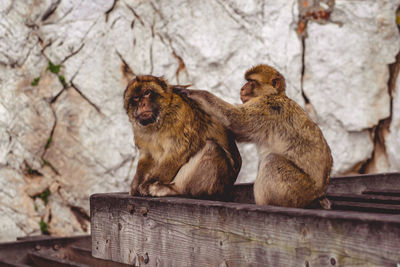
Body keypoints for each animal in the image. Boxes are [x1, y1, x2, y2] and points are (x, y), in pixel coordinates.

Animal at [180, 65, 332, 209]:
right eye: (247, 81)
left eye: (252, 82)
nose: (242, 88)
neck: (275, 94)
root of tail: (318, 195)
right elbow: (239, 133)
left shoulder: (266, 106)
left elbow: (234, 120)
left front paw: (194, 93)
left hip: (299, 191)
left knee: (272, 161)